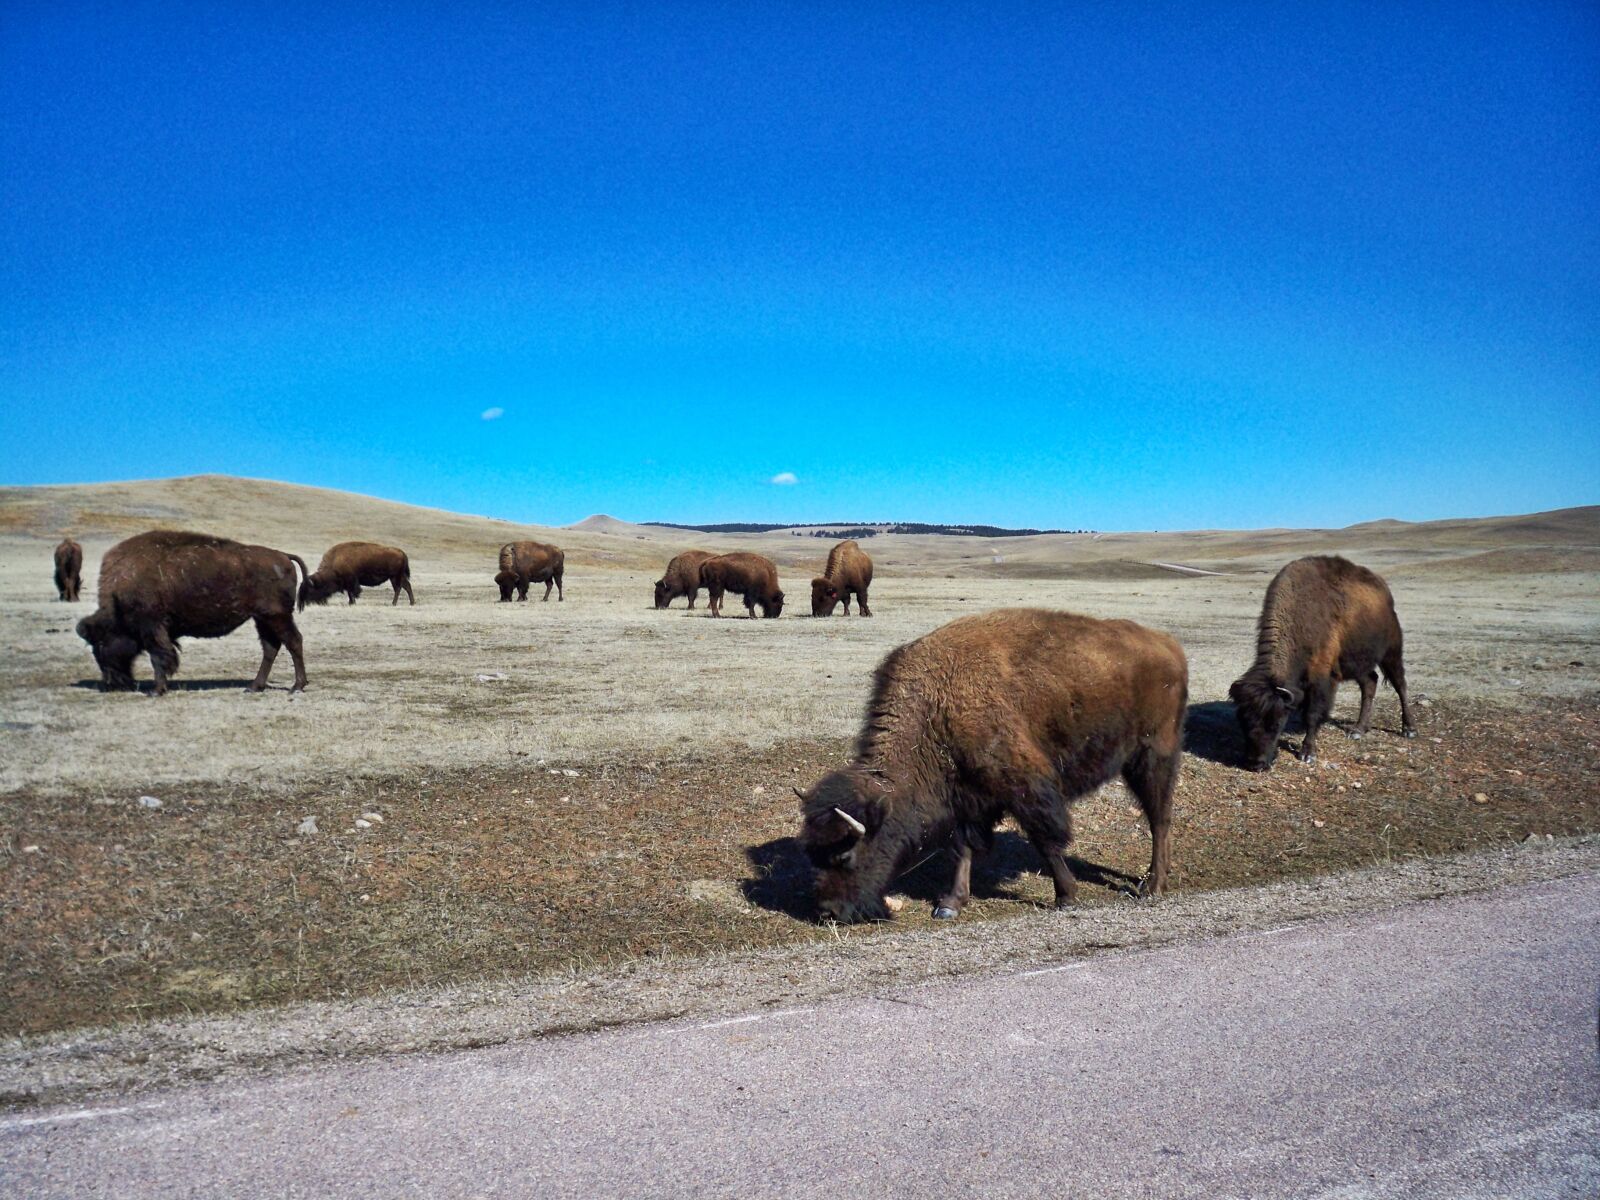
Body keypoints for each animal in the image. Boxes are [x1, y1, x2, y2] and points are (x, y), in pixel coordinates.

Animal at [76, 530, 309, 695]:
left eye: (101, 644)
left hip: (277, 616)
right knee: (271, 647)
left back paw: (297, 686)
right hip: (262, 618)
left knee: (293, 641)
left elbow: (158, 656)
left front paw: (156, 690)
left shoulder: (152, 628)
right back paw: (254, 687)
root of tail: (283, 556)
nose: (110, 684)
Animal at [797, 608, 1187, 922]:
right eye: (812, 854)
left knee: (1159, 818)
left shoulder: (1026, 788)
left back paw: (1152, 886)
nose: (828, 912)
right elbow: (963, 848)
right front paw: (950, 904)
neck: (936, 705)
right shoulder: (966, 795)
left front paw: (1066, 896)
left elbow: (1045, 840)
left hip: (1152, 756)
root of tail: (1168, 646)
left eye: (845, 856)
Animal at [1228, 555, 1416, 771]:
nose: (1255, 764)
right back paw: (1358, 730)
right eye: (1243, 721)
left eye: (1276, 723)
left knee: (1400, 685)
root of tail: (1384, 592)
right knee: (1370, 682)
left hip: (1391, 653)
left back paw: (1409, 729)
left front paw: (1308, 754)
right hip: (1359, 663)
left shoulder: (1321, 680)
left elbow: (1312, 714)